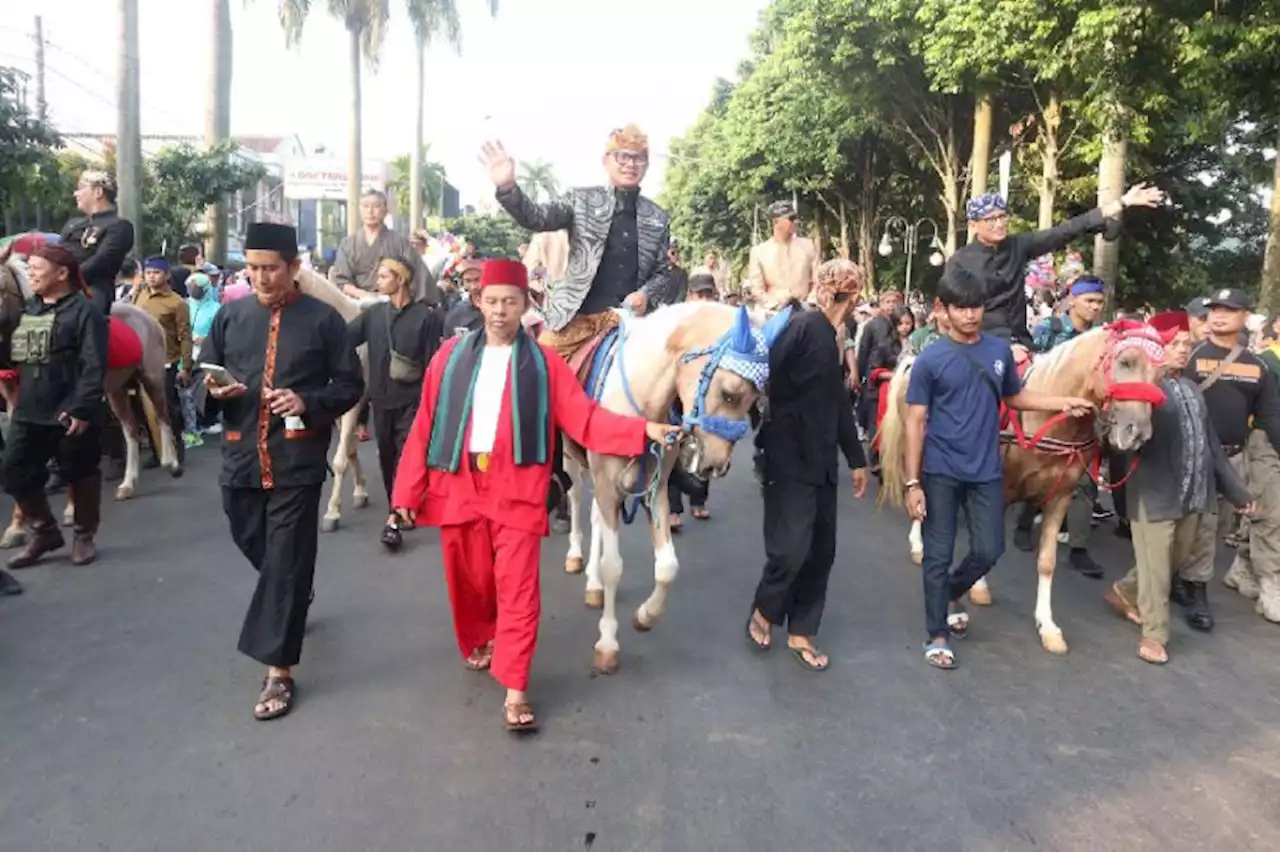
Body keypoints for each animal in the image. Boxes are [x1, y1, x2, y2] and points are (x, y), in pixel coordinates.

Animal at [565, 301, 783, 675]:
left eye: (758, 398)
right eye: (730, 394)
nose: (715, 466)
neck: (639, 406)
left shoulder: (655, 488)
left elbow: (667, 566)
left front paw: (645, 616)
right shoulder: (608, 483)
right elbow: (614, 566)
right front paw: (607, 644)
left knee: (594, 514)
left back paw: (593, 585)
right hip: (571, 459)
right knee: (576, 497)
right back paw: (576, 556)